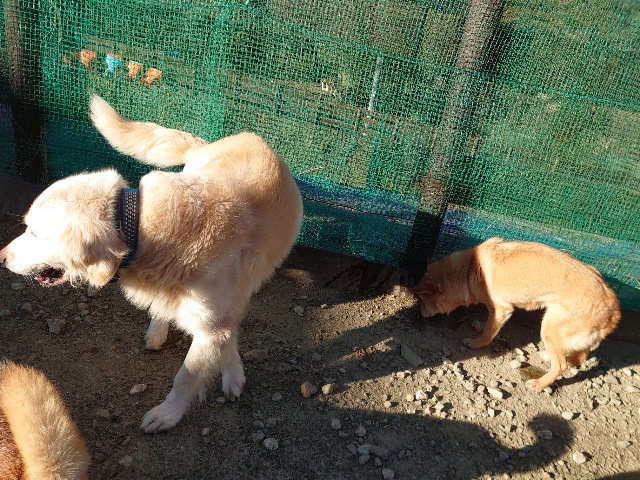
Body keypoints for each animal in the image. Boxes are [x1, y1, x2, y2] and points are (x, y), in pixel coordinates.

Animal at [0, 96, 303, 433]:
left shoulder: (214, 318)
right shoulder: (213, 316)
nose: (2, 256)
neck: (142, 227)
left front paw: (169, 413)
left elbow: (187, 375)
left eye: (35, 232)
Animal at [410, 237, 621, 391]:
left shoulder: (502, 309)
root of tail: (614, 308)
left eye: (424, 301)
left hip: (549, 329)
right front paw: (479, 325)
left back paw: (540, 384)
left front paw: (476, 343)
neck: (469, 270)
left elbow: (489, 331)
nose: (420, 313)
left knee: (561, 365)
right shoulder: (495, 309)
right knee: (578, 357)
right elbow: (488, 323)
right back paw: (549, 357)